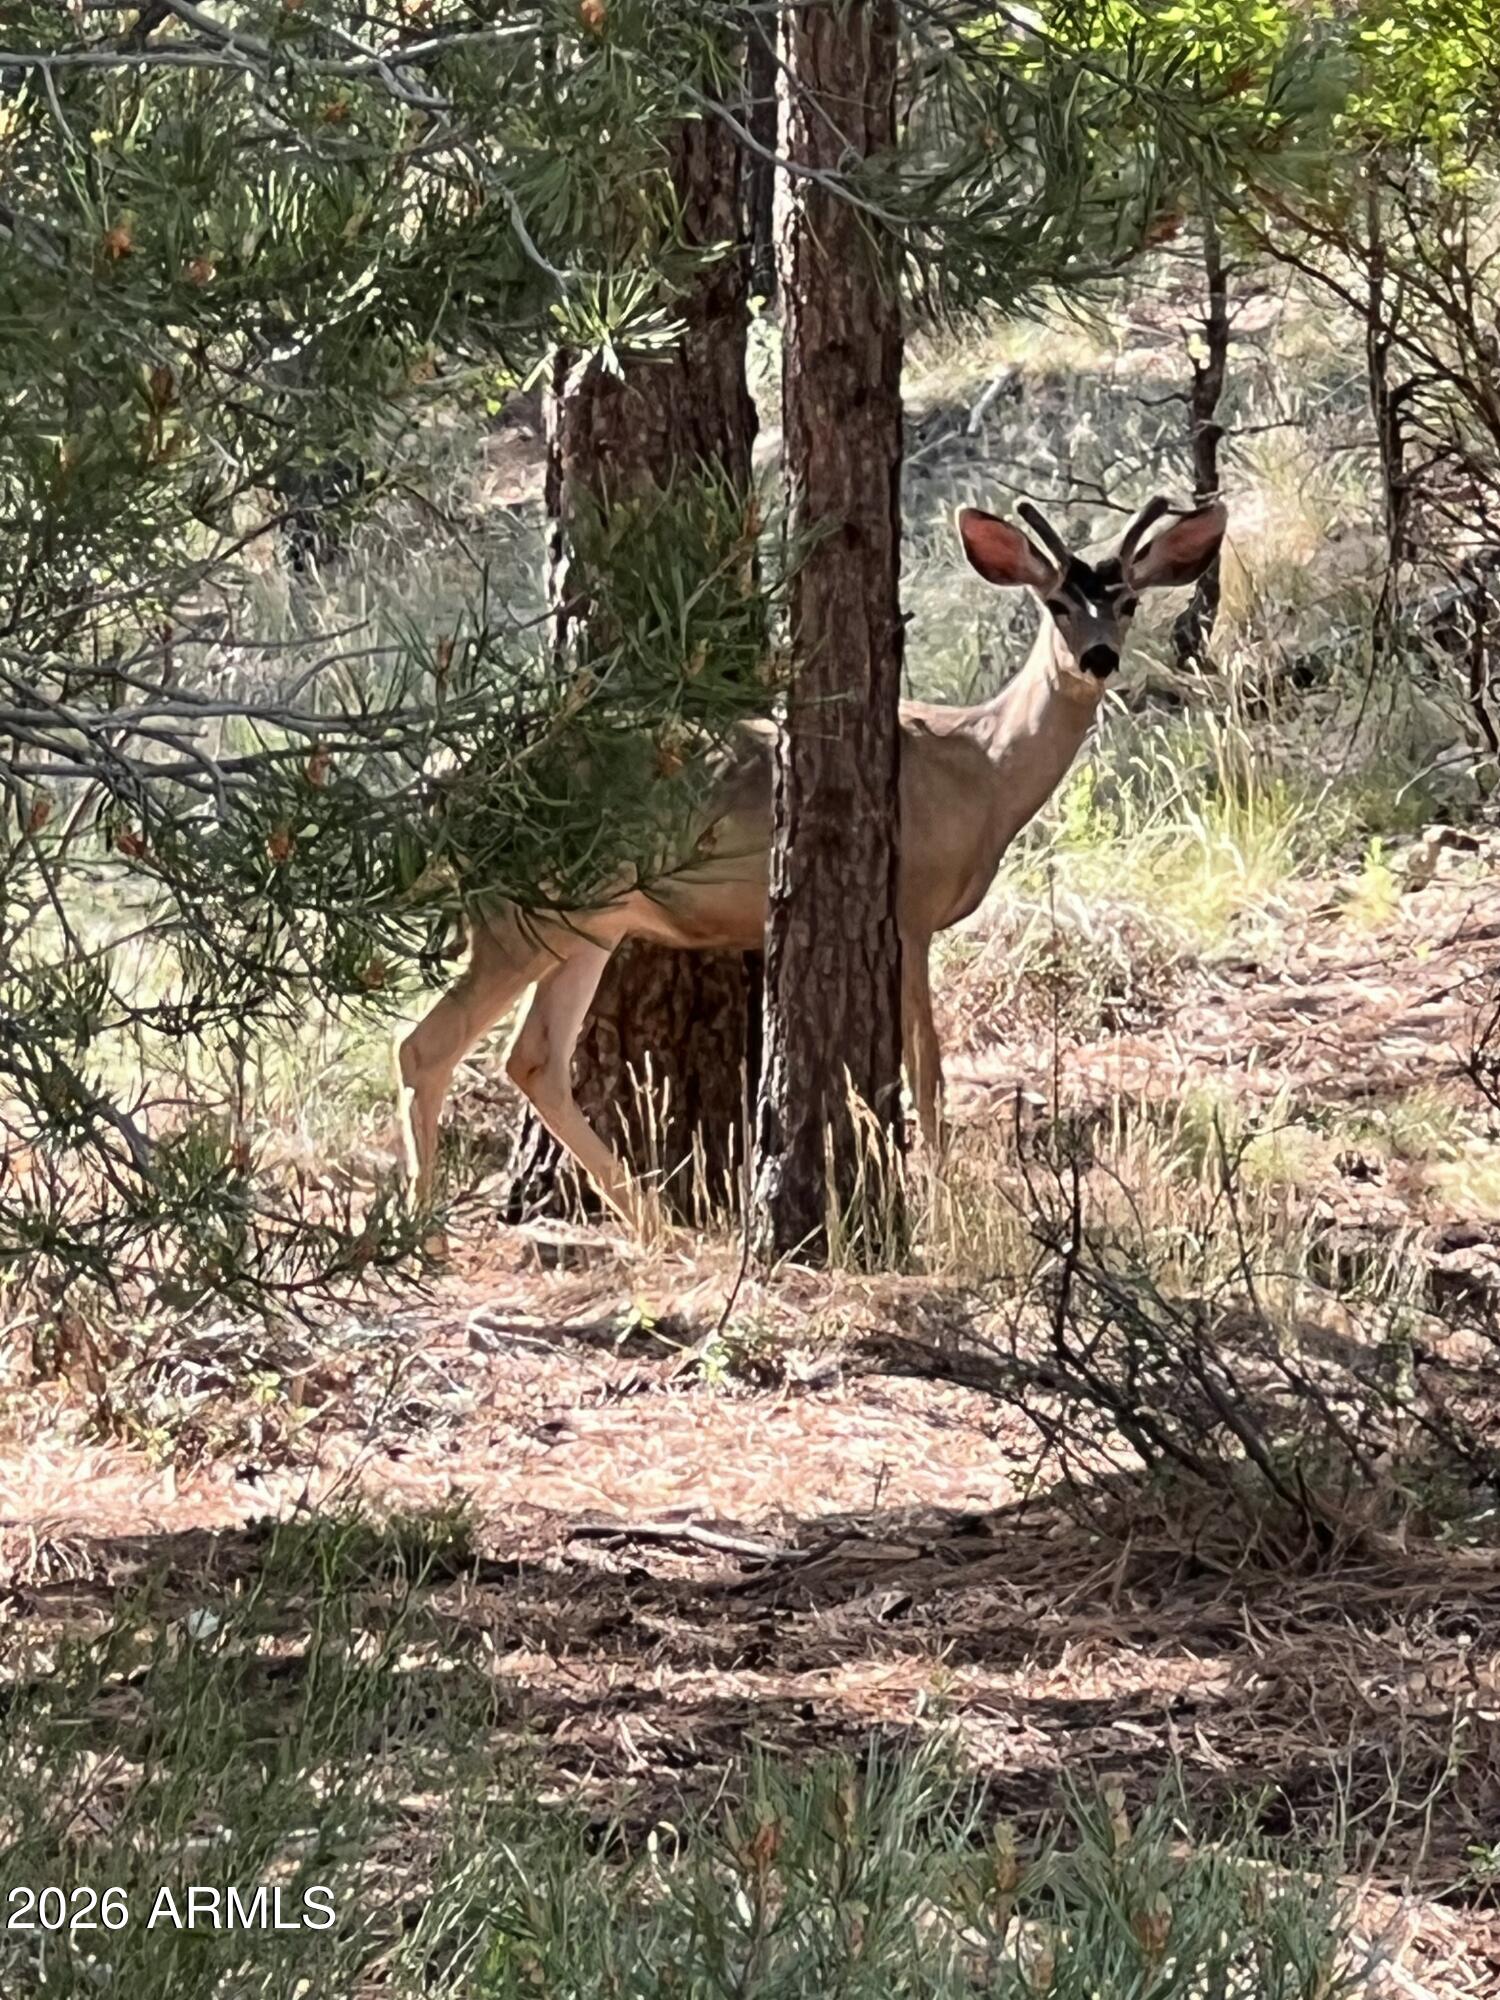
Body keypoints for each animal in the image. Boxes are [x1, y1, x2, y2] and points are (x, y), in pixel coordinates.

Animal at [395, 493, 1228, 1235]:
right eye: (1057, 603)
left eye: (1126, 603)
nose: (1099, 657)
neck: (981, 767)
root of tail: (438, 781)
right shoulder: (908, 907)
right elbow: (926, 1070)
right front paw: (942, 1198)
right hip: (521, 911)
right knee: (427, 1047)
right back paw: (429, 1235)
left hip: (588, 921)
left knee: (532, 1058)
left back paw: (659, 1228)